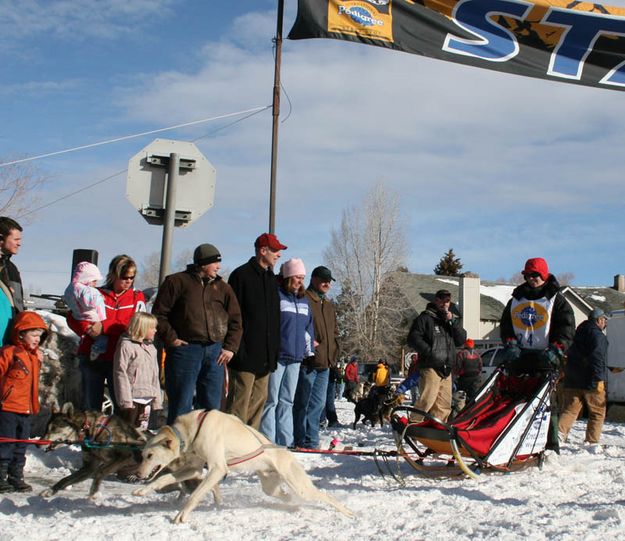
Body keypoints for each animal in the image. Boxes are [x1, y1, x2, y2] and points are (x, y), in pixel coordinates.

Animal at [132, 412, 354, 520]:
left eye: (150, 455)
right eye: (142, 455)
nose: (138, 474)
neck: (192, 429)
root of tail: (287, 452)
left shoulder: (217, 469)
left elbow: (195, 495)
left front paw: (181, 515)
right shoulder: (194, 468)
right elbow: (164, 477)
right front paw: (143, 490)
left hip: (301, 487)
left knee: (326, 496)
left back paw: (349, 513)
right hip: (271, 488)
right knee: (287, 496)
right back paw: (294, 506)